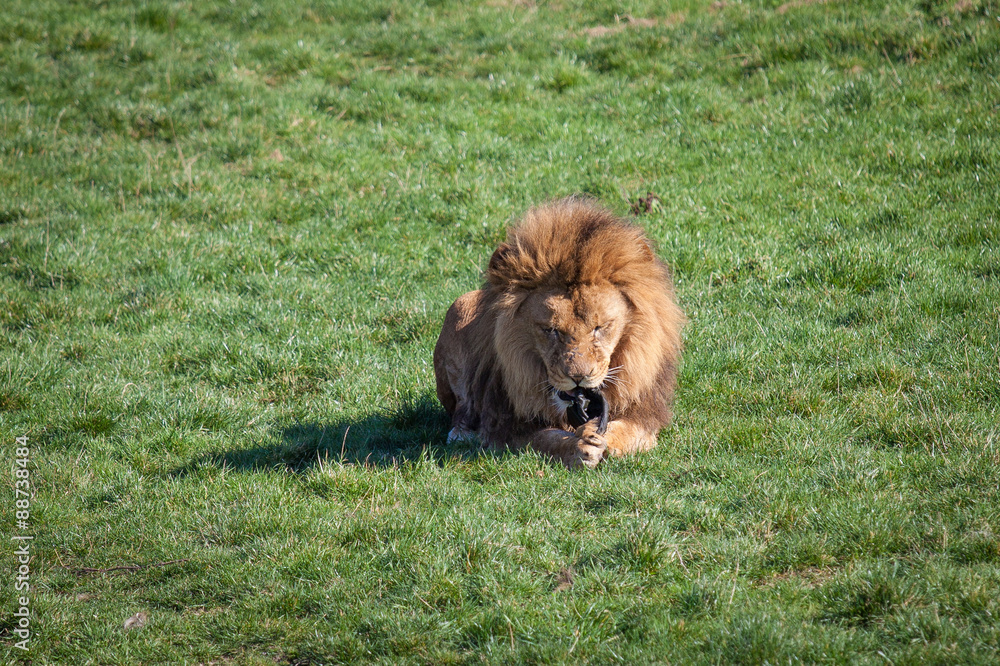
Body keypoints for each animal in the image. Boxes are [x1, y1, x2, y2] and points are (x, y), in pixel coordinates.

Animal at [433, 197, 685, 468]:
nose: (578, 377)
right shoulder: (507, 426)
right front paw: (578, 447)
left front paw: (599, 437)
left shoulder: (645, 416)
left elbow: (626, 431)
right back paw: (461, 434)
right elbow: (546, 439)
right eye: (550, 330)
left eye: (600, 327)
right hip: (459, 306)